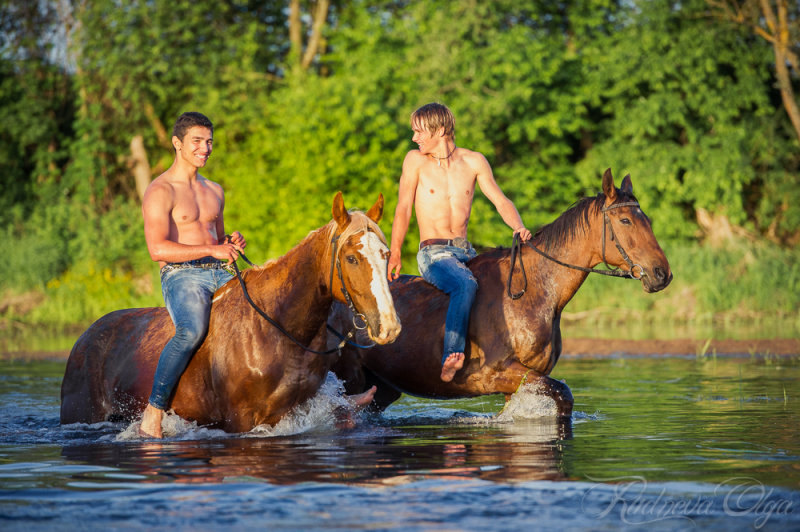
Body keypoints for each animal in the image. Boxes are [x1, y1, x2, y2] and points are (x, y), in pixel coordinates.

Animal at [59, 193, 404, 434]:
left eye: (386, 254)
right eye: (351, 258)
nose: (389, 326)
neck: (279, 328)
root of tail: (85, 338)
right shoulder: (242, 419)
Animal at [328, 168, 672, 418]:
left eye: (646, 219)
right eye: (625, 220)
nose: (662, 274)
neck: (534, 292)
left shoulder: (524, 379)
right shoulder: (497, 373)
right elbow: (564, 396)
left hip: (380, 387)